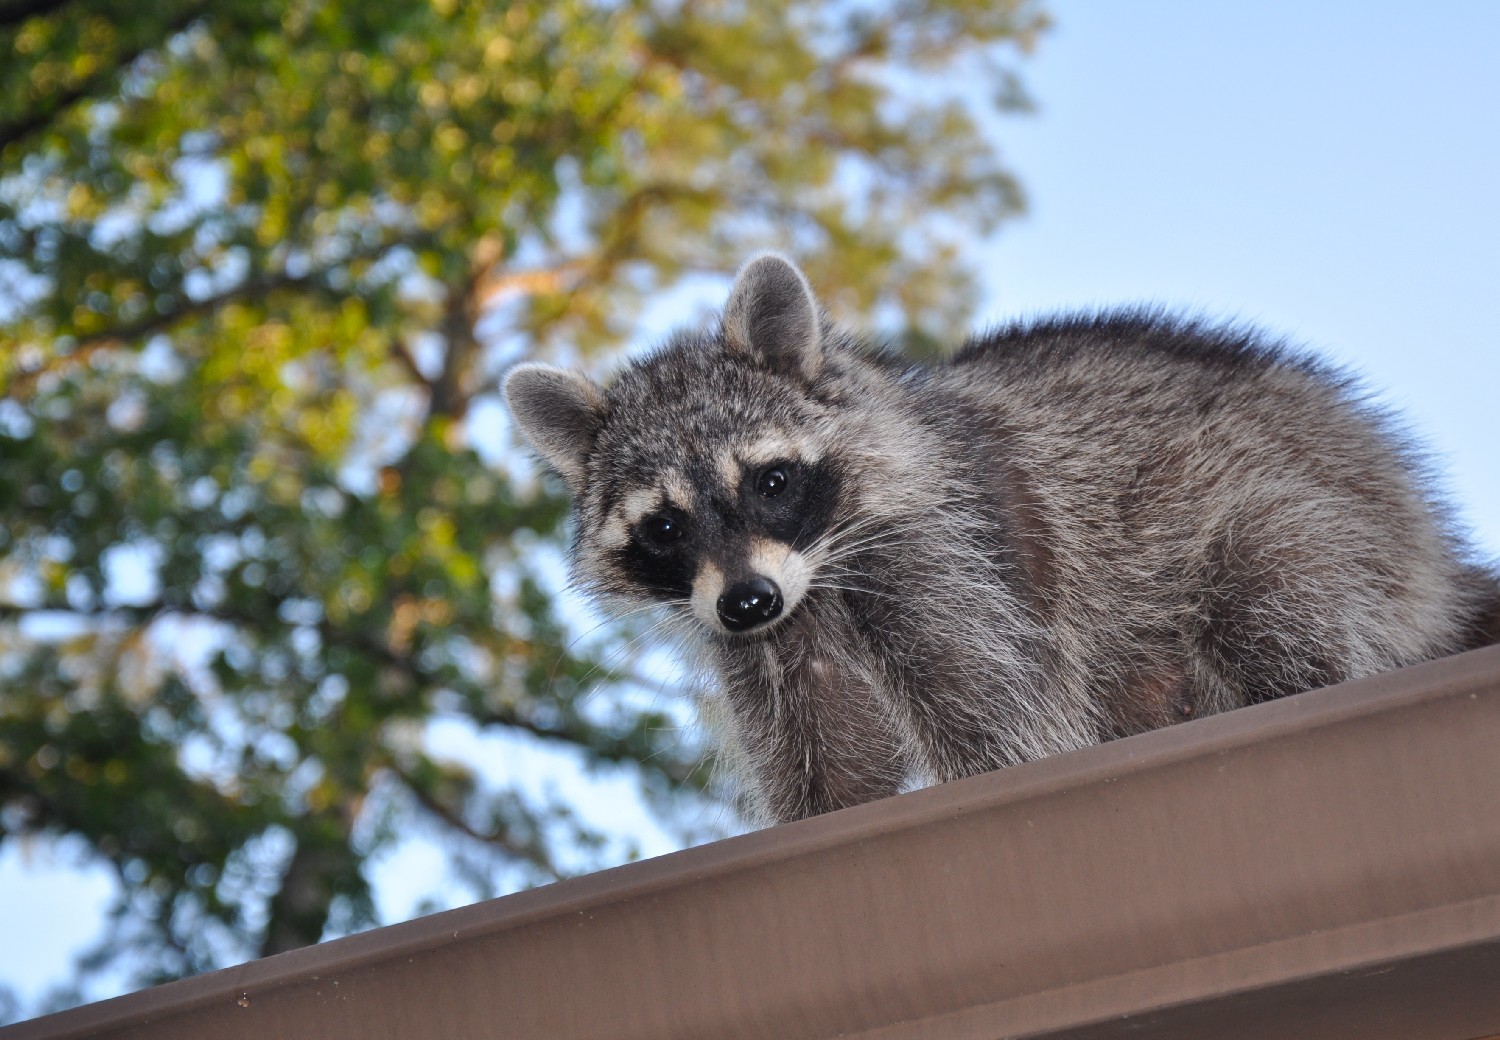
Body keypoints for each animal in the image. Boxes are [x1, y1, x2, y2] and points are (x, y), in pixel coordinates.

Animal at [504, 253, 1500, 824]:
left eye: (771, 482)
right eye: (664, 526)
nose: (748, 601)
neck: (816, 573)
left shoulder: (952, 557)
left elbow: (1002, 722)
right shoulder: (774, 643)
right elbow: (830, 769)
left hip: (1328, 517)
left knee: (1268, 588)